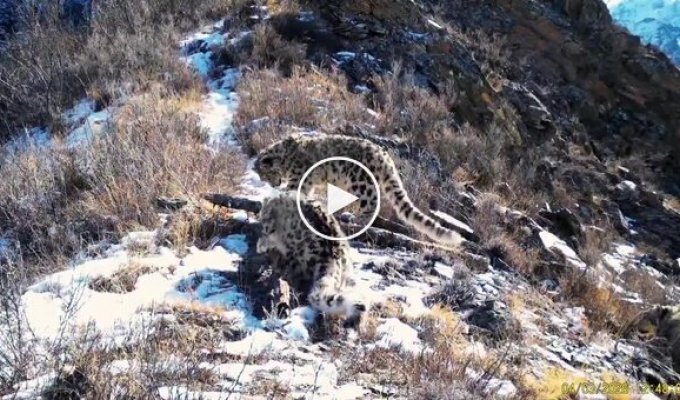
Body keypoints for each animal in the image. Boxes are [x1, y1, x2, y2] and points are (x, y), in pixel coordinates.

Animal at [254, 135, 468, 248]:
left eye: (265, 174)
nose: (271, 183)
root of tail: (385, 157)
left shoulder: (299, 176)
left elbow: (293, 191)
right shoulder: (307, 181)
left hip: (362, 183)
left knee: (372, 205)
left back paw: (356, 220)